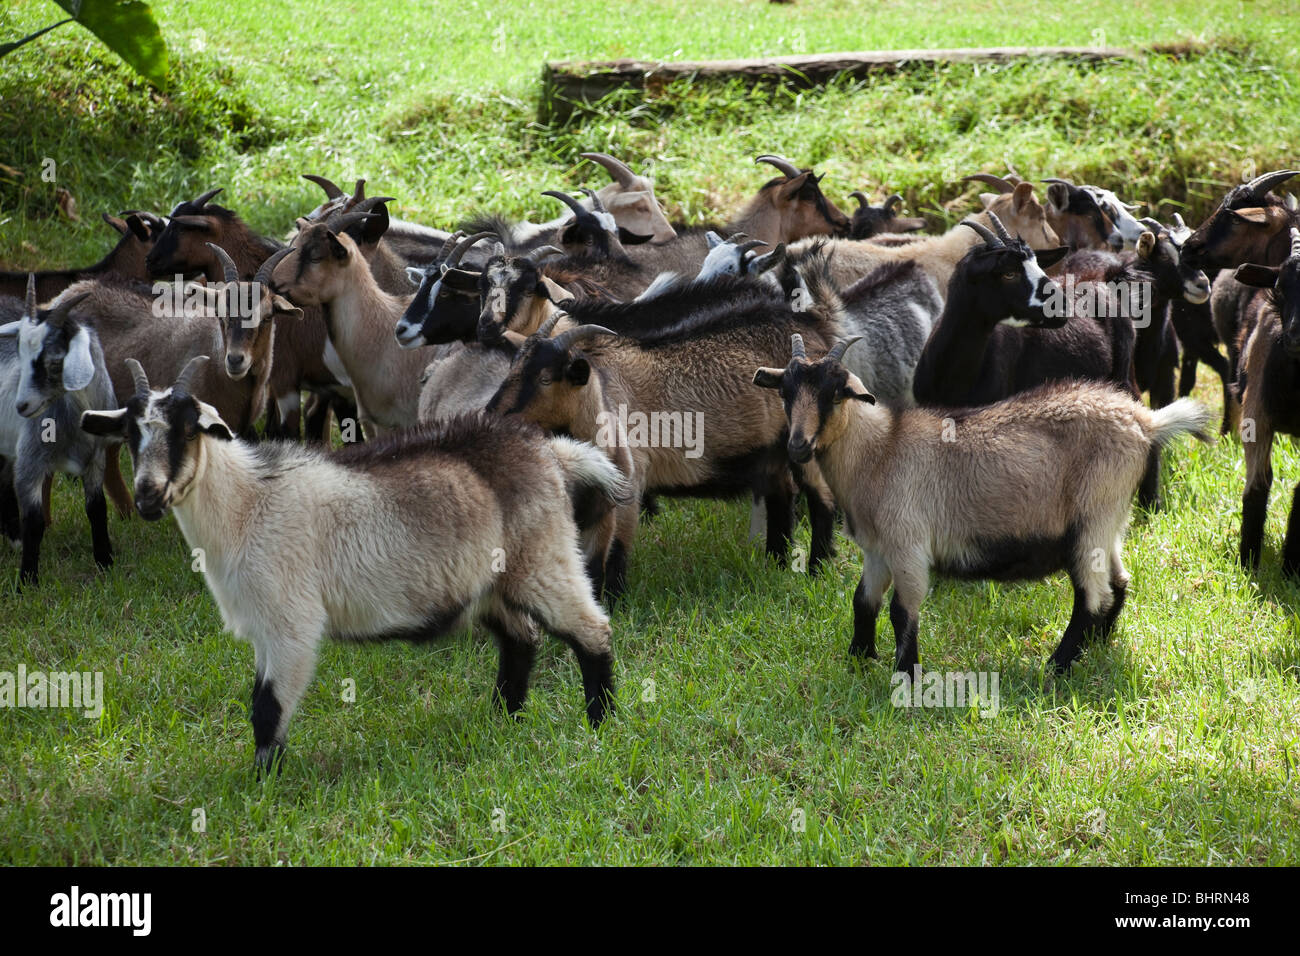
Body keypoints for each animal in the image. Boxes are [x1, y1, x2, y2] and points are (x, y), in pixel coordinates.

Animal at [0, 278, 113, 585]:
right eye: (19, 352)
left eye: (52, 361)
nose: (22, 406)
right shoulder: (30, 461)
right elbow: (35, 521)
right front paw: (27, 581)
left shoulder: (96, 458)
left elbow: (97, 508)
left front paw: (105, 562)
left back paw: (13, 539)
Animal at [82, 357, 626, 771]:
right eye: (129, 433)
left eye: (188, 430)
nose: (148, 497)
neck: (246, 504)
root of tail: (549, 453)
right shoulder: (263, 629)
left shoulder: (290, 622)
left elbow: (267, 707)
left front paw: (263, 782)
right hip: (491, 583)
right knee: (521, 638)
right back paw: (504, 720)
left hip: (546, 556)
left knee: (592, 630)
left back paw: (601, 722)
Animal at [754, 333, 1211, 675]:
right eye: (785, 392)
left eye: (834, 394)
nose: (797, 446)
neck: (880, 451)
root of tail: (1146, 423)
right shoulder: (878, 549)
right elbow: (863, 601)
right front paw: (858, 660)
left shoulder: (908, 543)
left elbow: (902, 612)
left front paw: (906, 676)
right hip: (1111, 521)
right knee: (1118, 582)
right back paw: (1097, 648)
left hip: (1093, 515)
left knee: (1092, 596)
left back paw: (1057, 666)